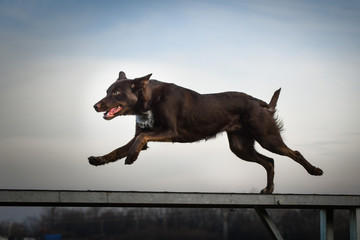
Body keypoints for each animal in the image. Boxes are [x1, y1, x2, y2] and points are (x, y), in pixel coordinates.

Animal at [89, 71, 324, 193]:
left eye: (116, 92)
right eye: (107, 91)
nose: (95, 105)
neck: (149, 101)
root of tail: (259, 103)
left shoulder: (170, 131)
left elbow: (141, 137)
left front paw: (132, 157)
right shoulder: (144, 134)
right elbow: (120, 148)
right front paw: (99, 159)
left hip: (267, 137)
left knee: (294, 153)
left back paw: (314, 171)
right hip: (240, 147)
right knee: (269, 162)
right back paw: (268, 190)